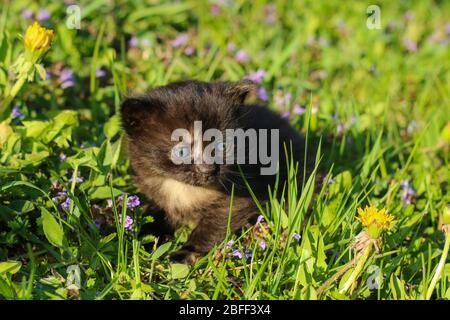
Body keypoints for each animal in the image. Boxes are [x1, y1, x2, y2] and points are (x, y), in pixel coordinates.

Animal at [120, 79, 312, 262]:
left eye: (221, 146)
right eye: (181, 151)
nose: (208, 170)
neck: (185, 189)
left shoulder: (239, 196)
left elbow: (213, 226)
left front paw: (186, 253)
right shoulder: (156, 194)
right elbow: (153, 213)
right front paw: (140, 236)